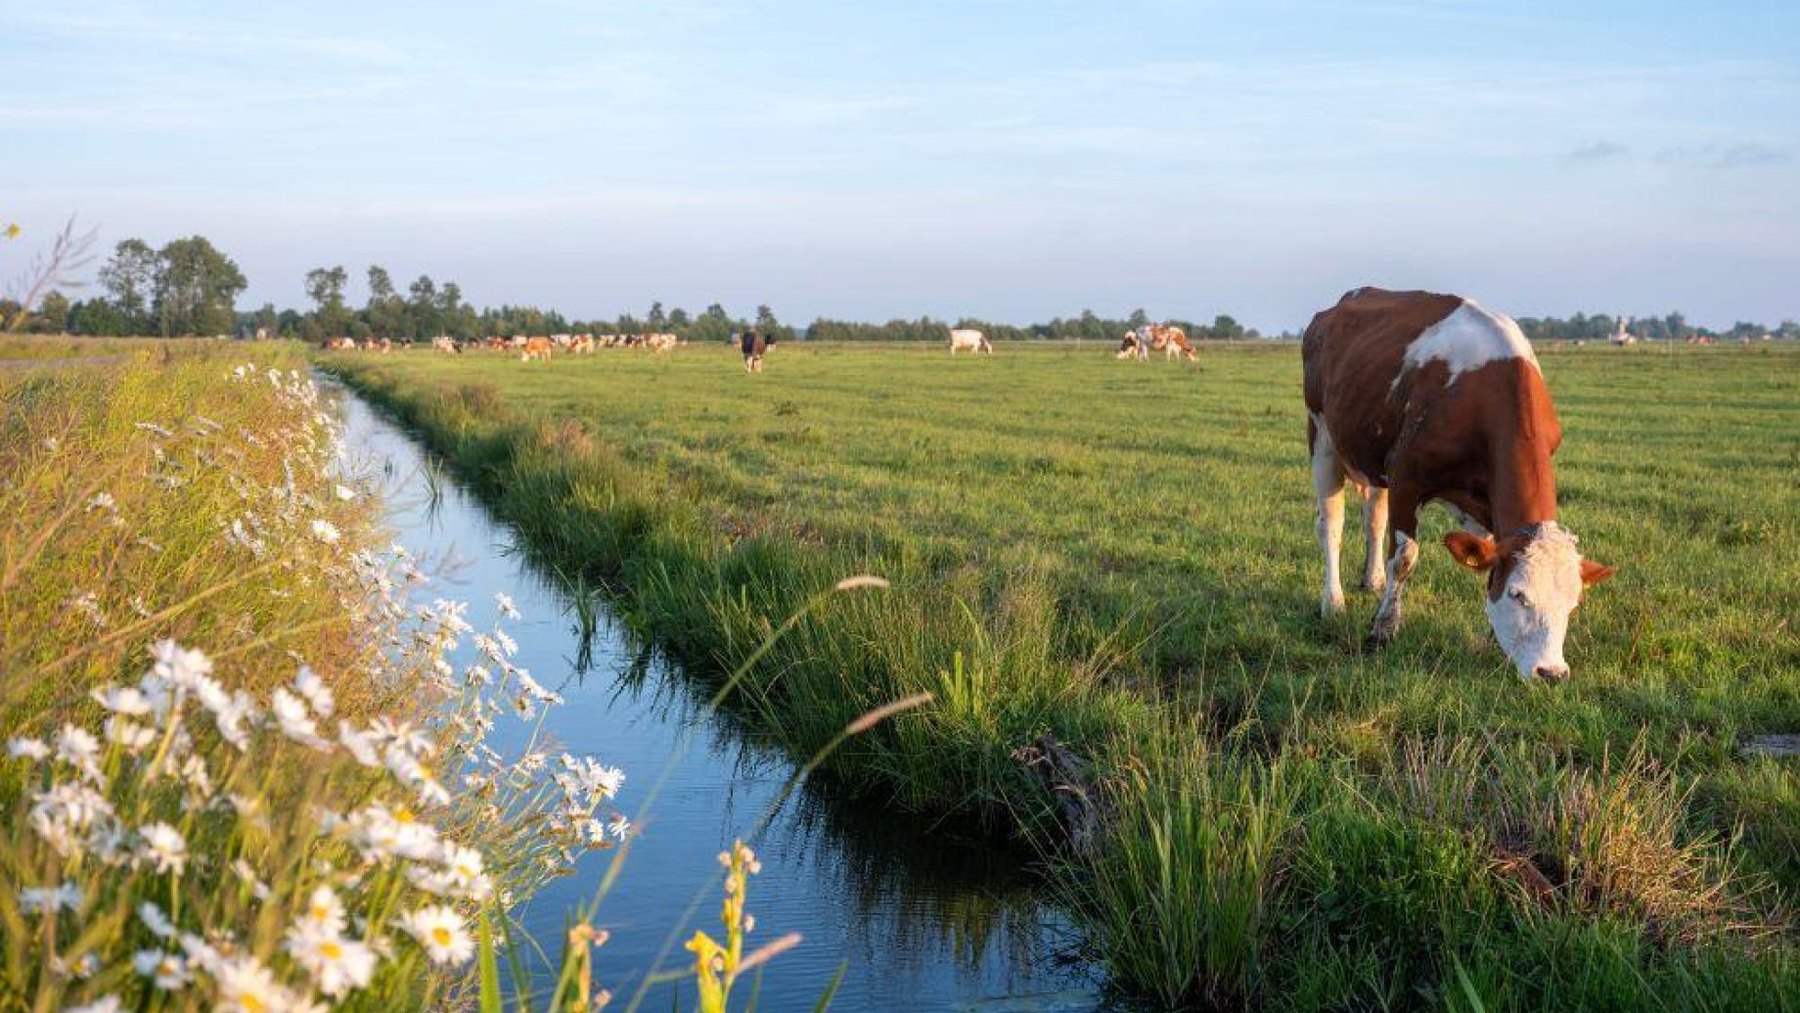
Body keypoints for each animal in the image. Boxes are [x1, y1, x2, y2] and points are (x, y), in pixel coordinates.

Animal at [1302, 286, 1614, 682]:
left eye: (1573, 604)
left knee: (1373, 517)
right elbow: (1403, 558)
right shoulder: (1406, 477)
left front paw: (1492, 640)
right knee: (1331, 524)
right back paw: (1333, 602)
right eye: (1518, 595)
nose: (1552, 673)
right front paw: (1383, 629)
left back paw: (1372, 580)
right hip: (1322, 435)